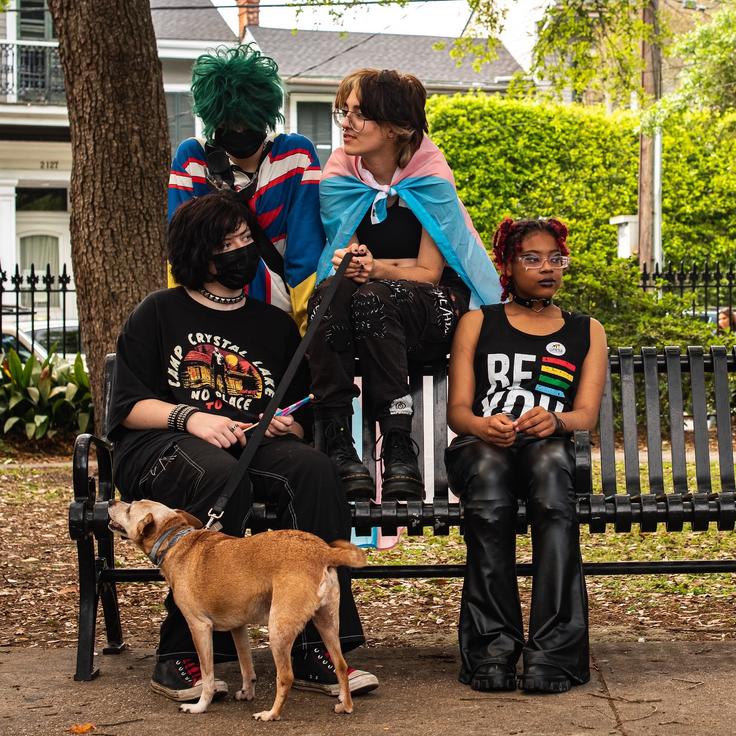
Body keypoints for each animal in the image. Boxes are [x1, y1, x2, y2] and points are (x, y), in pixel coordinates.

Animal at [108, 500, 366, 720]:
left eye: (129, 508)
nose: (110, 501)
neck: (175, 540)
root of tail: (323, 551)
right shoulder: (238, 628)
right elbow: (246, 666)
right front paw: (247, 692)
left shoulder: (199, 627)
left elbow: (208, 675)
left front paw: (200, 706)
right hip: (326, 623)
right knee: (341, 665)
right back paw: (346, 705)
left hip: (278, 629)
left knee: (286, 676)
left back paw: (271, 714)